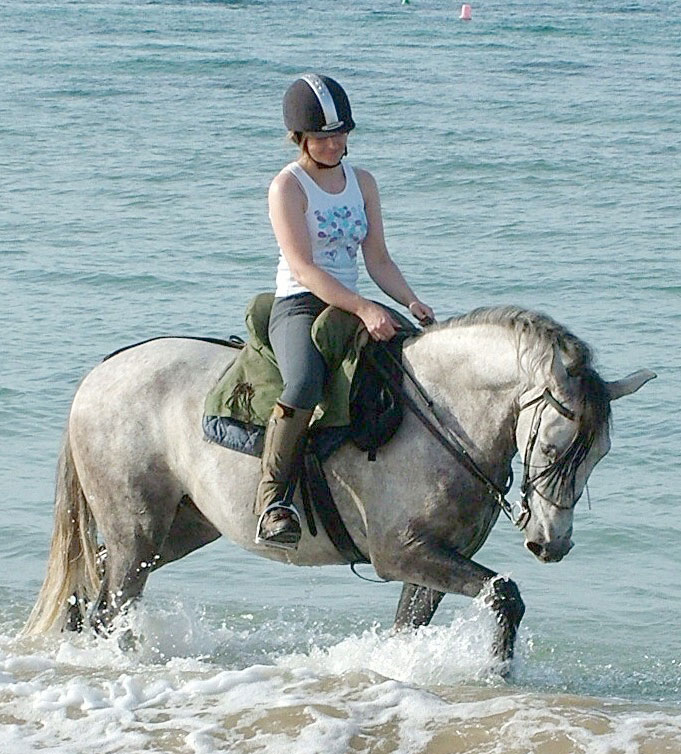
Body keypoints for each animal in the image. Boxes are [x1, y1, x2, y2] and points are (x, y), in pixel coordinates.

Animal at [23, 304, 656, 664]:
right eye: (552, 447)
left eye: (600, 454)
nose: (552, 544)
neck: (442, 414)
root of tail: (99, 375)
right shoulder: (401, 553)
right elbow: (505, 595)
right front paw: (496, 673)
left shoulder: (433, 559)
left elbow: (412, 624)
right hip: (139, 529)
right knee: (112, 605)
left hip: (180, 529)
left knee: (95, 577)